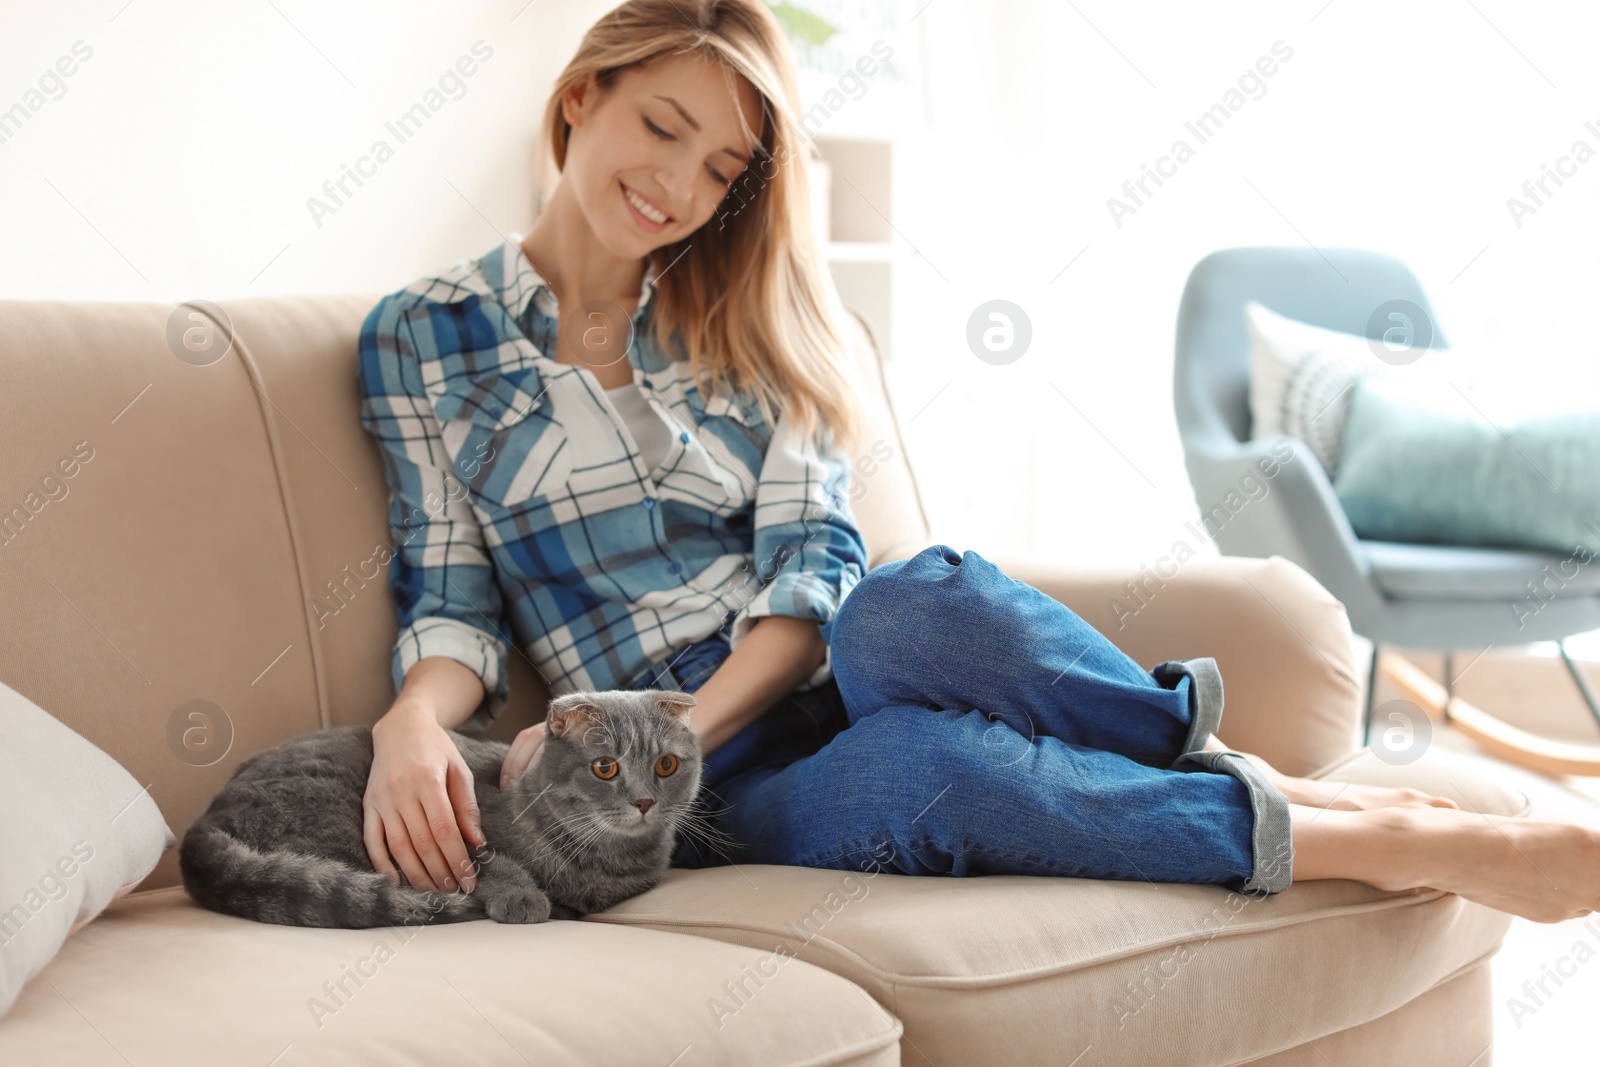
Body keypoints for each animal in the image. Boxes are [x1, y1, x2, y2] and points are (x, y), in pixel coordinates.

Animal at [175, 694, 713, 927]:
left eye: (666, 765)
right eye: (605, 767)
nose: (644, 801)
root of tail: (198, 828)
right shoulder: (457, 827)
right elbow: (488, 861)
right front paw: (525, 897)